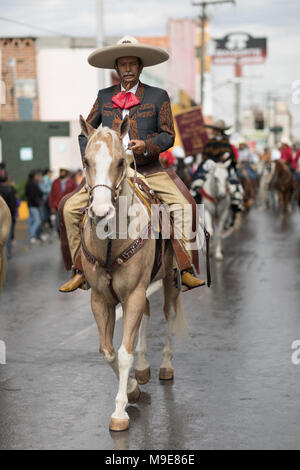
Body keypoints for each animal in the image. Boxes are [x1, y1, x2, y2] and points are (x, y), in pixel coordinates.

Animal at [78, 115, 186, 432]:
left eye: (119, 162)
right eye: (86, 161)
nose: (101, 211)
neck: (111, 241)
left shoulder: (134, 293)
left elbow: (124, 352)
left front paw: (120, 411)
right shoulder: (101, 299)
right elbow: (108, 350)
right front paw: (132, 389)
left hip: (169, 279)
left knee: (168, 314)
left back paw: (165, 366)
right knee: (146, 315)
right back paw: (143, 368)